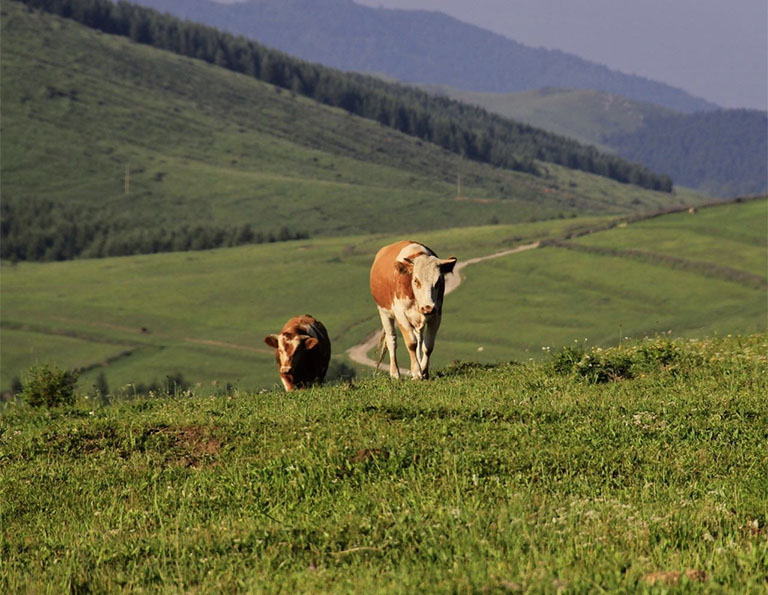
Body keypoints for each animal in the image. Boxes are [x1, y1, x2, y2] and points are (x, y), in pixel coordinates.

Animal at [370, 242, 456, 382]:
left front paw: (424, 371)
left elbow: (428, 345)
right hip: (384, 313)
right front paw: (416, 372)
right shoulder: (400, 314)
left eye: (438, 281)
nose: (428, 307)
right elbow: (411, 343)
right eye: (416, 280)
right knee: (391, 339)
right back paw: (395, 373)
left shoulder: (437, 314)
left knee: (419, 339)